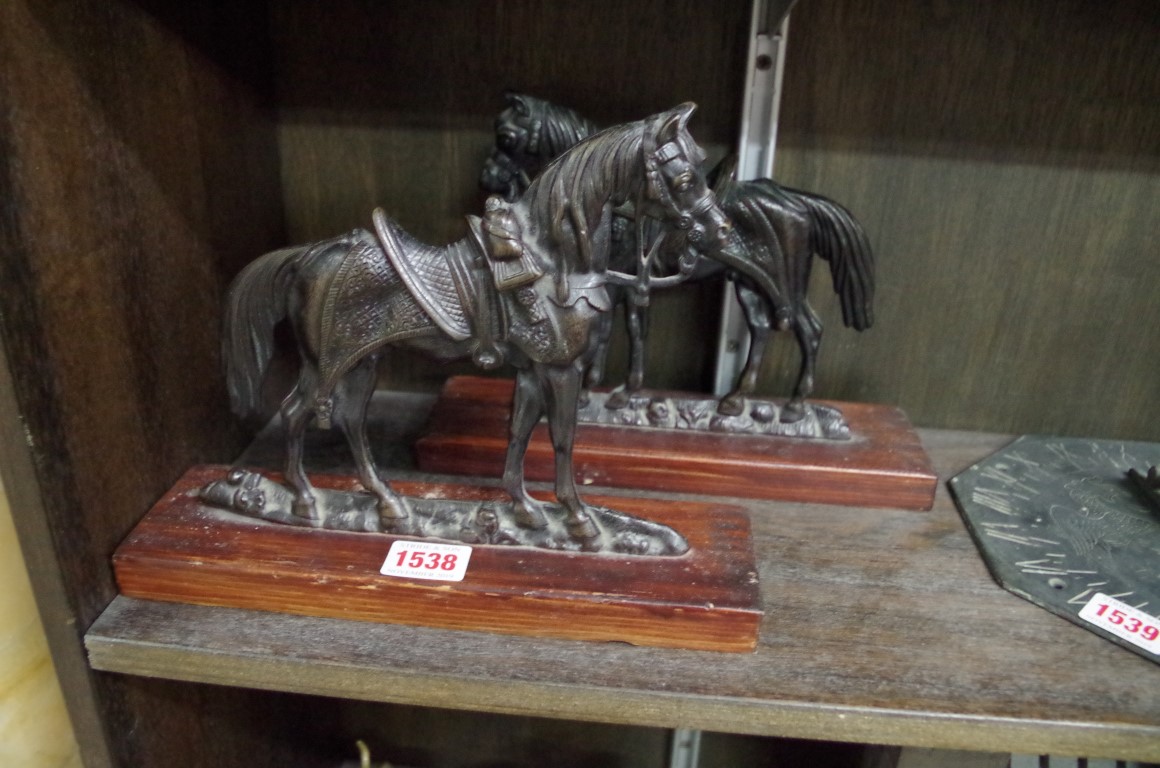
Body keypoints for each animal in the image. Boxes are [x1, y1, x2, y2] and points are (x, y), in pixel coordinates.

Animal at [222, 105, 728, 545]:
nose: (720, 231)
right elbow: (562, 438)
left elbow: (519, 433)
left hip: (363, 362)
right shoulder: (561, 370)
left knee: (350, 420)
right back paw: (306, 500)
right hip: (329, 363)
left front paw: (525, 509)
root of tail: (308, 256)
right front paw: (579, 518)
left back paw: (388, 503)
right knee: (296, 413)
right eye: (684, 178)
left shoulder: (532, 370)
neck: (553, 260)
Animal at [484, 94, 872, 426]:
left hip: (786, 284)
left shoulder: (624, 279)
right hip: (748, 283)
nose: (488, 177)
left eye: (505, 136)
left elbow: (628, 329)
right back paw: (735, 400)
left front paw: (617, 392)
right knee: (761, 329)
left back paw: (794, 406)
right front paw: (593, 388)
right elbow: (611, 329)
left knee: (810, 330)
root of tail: (798, 202)